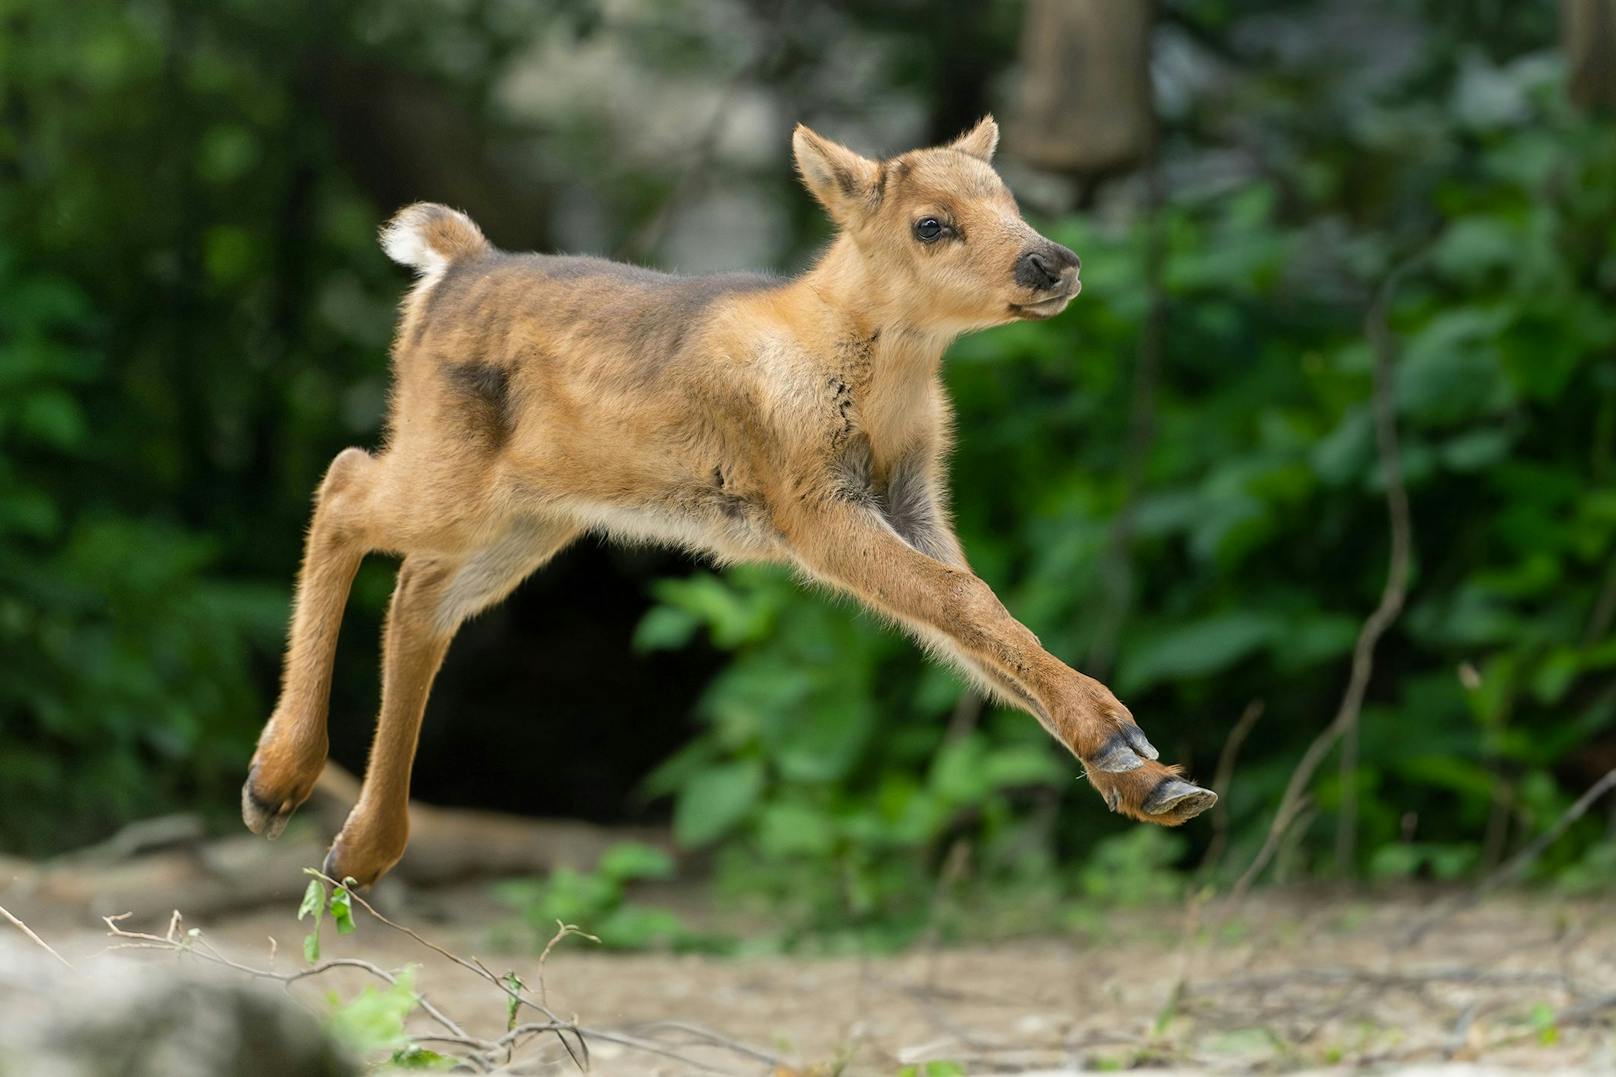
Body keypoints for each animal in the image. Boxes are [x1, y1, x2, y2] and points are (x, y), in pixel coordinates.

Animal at [242, 121, 1215, 886]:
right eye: (931, 223)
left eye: (1010, 198)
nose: (1054, 261)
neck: (873, 387)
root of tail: (452, 263)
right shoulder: (808, 503)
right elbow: (965, 600)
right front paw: (1131, 749)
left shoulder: (913, 505)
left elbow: (986, 631)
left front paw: (1151, 775)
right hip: (452, 478)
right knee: (344, 482)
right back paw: (277, 781)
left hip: (530, 516)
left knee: (418, 597)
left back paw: (355, 848)